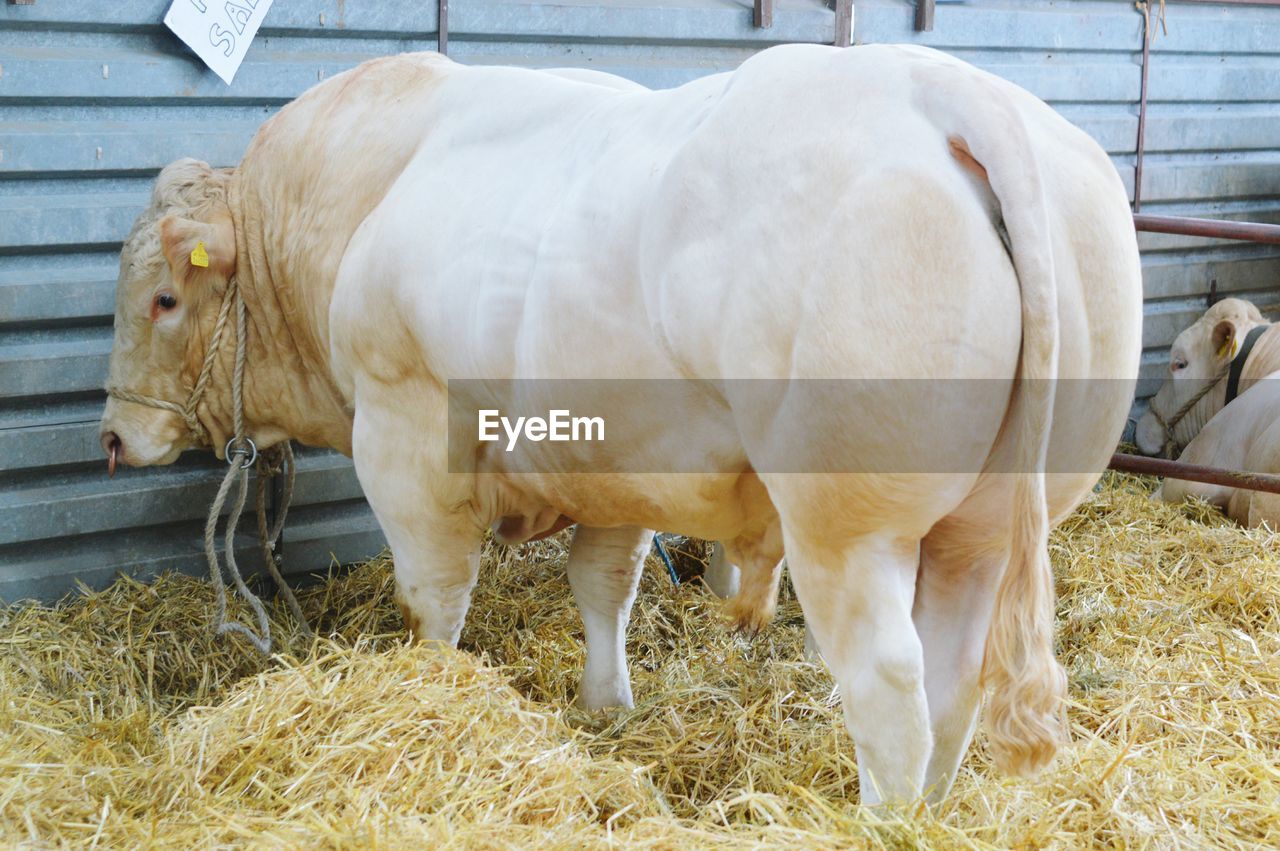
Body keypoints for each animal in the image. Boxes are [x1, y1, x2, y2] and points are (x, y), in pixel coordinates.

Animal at [97, 46, 1141, 803]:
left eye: (162, 299)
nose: (112, 437)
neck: (353, 202)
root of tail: (944, 88)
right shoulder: (623, 455)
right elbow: (605, 587)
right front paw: (605, 706)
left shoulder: (403, 431)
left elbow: (432, 595)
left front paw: (431, 691)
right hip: (986, 524)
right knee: (955, 677)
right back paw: (929, 809)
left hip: (850, 524)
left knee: (890, 683)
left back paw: (882, 819)